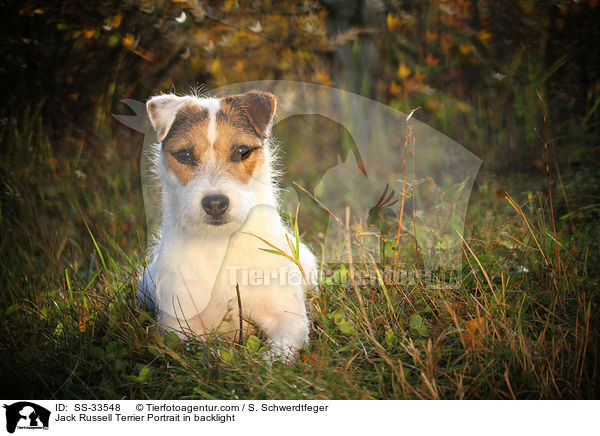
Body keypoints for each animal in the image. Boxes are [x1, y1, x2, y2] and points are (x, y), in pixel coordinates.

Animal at [138, 88, 318, 358]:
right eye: (184, 155)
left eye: (242, 151)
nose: (215, 203)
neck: (222, 243)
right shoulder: (177, 328)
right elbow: (201, 350)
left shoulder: (289, 320)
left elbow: (277, 355)